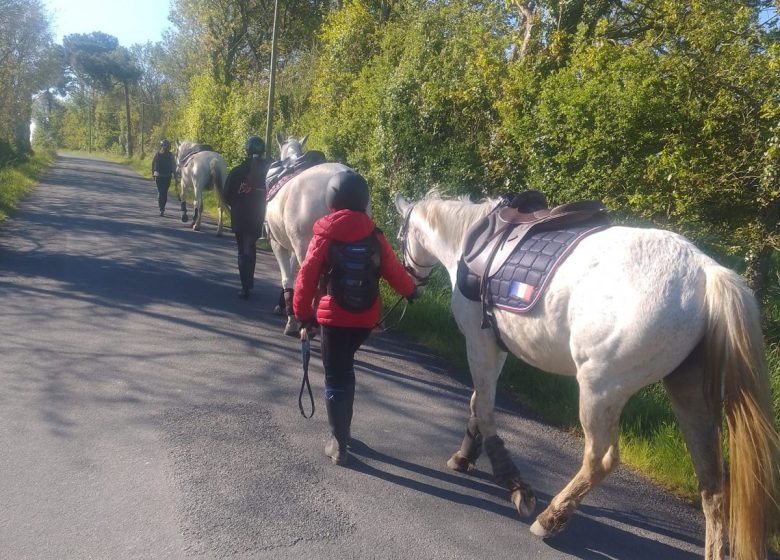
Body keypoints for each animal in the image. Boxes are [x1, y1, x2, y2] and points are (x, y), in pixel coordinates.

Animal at [396, 191, 780, 560]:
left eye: (400, 236)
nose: (412, 283)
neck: (472, 239)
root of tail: (705, 271)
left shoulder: (480, 344)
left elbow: (485, 409)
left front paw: (515, 485)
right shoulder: (495, 347)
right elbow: (479, 403)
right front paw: (465, 457)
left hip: (600, 390)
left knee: (601, 459)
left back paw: (551, 518)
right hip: (689, 394)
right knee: (713, 484)